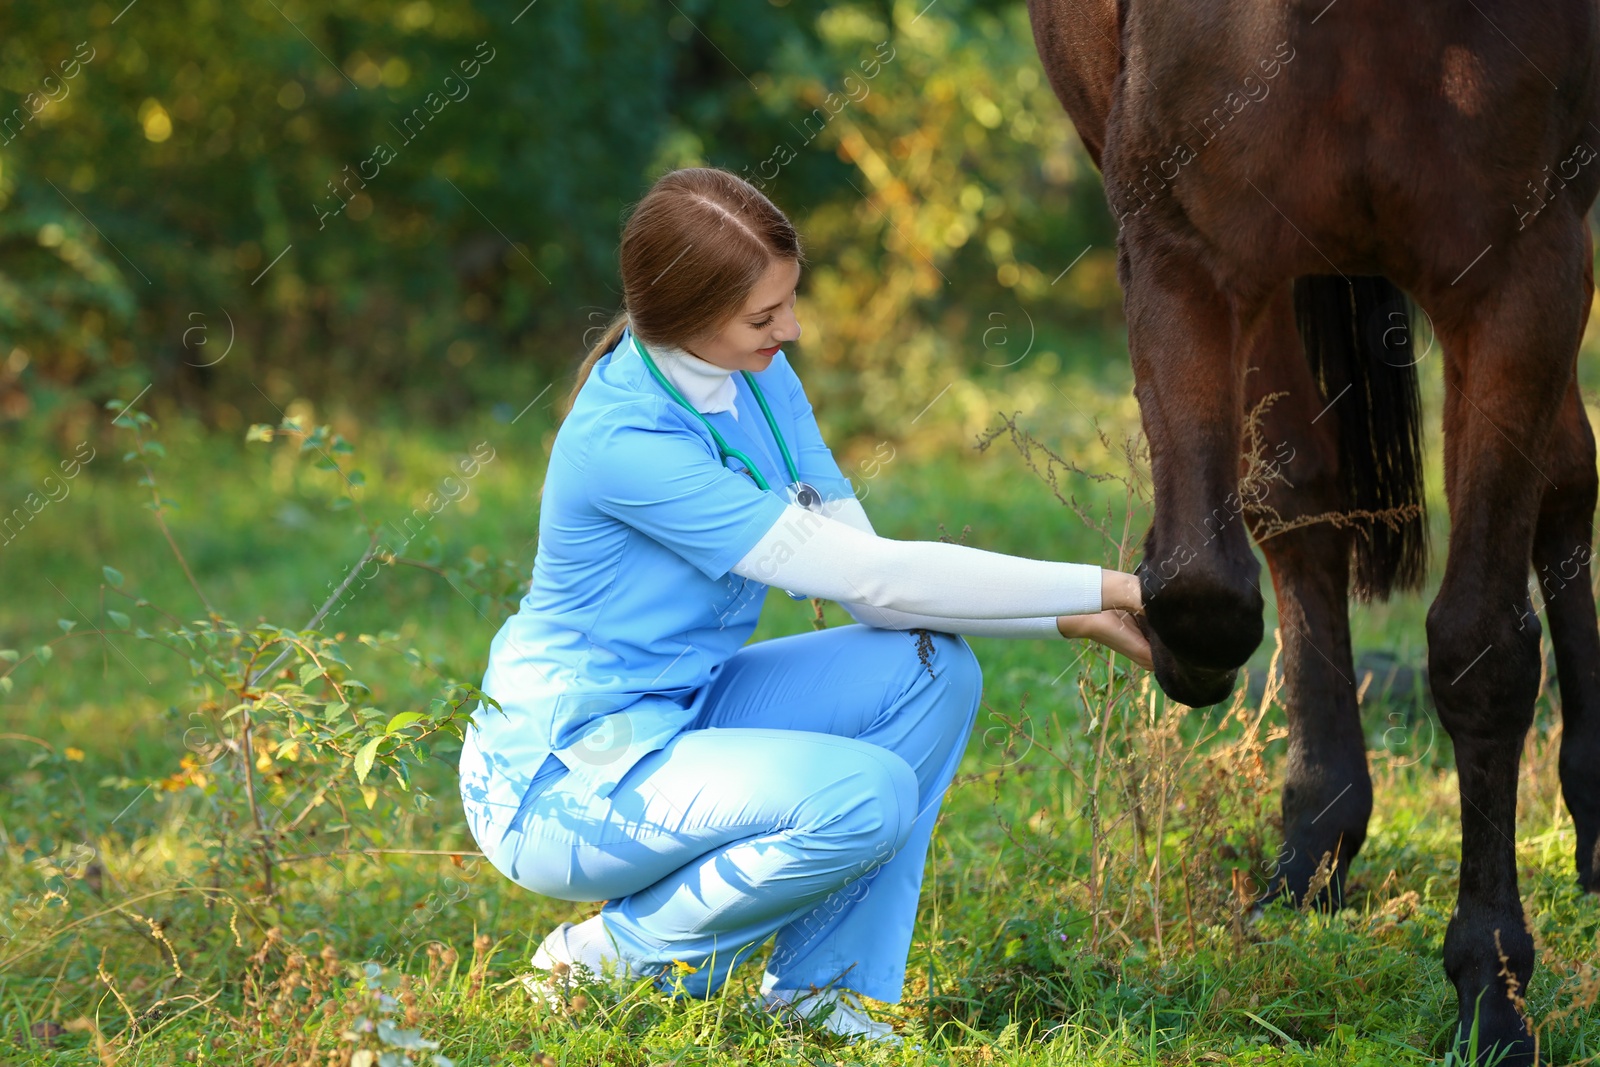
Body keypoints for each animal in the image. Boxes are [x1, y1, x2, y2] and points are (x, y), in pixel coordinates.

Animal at [1036, 4, 1600, 1062]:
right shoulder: (1185, 256)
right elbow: (1208, 583)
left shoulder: (1524, 277)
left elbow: (1483, 651)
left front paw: (1492, 991)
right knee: (1297, 509)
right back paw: (1311, 848)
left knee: (1564, 489)